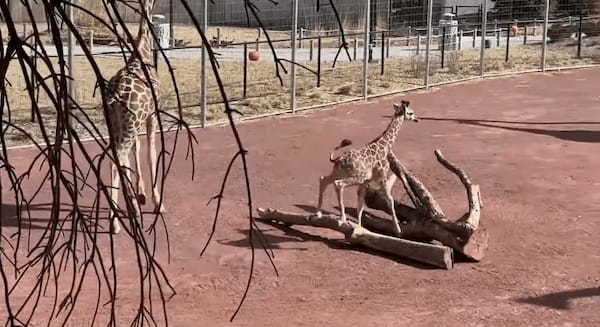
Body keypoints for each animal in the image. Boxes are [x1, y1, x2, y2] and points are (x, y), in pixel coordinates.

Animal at [104, 0, 163, 236]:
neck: (143, 52)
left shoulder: (138, 120)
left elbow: (136, 152)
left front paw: (141, 195)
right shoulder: (152, 115)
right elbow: (151, 152)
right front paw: (158, 203)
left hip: (115, 125)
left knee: (119, 158)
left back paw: (128, 210)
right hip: (128, 125)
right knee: (116, 161)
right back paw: (116, 223)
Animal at [316, 100, 420, 236]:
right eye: (410, 112)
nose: (417, 119)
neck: (385, 146)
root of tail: (339, 159)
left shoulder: (365, 182)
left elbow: (360, 206)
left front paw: (359, 229)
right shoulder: (382, 177)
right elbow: (390, 200)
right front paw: (398, 230)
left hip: (338, 173)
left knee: (323, 179)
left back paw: (318, 213)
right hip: (355, 176)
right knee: (338, 184)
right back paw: (342, 218)